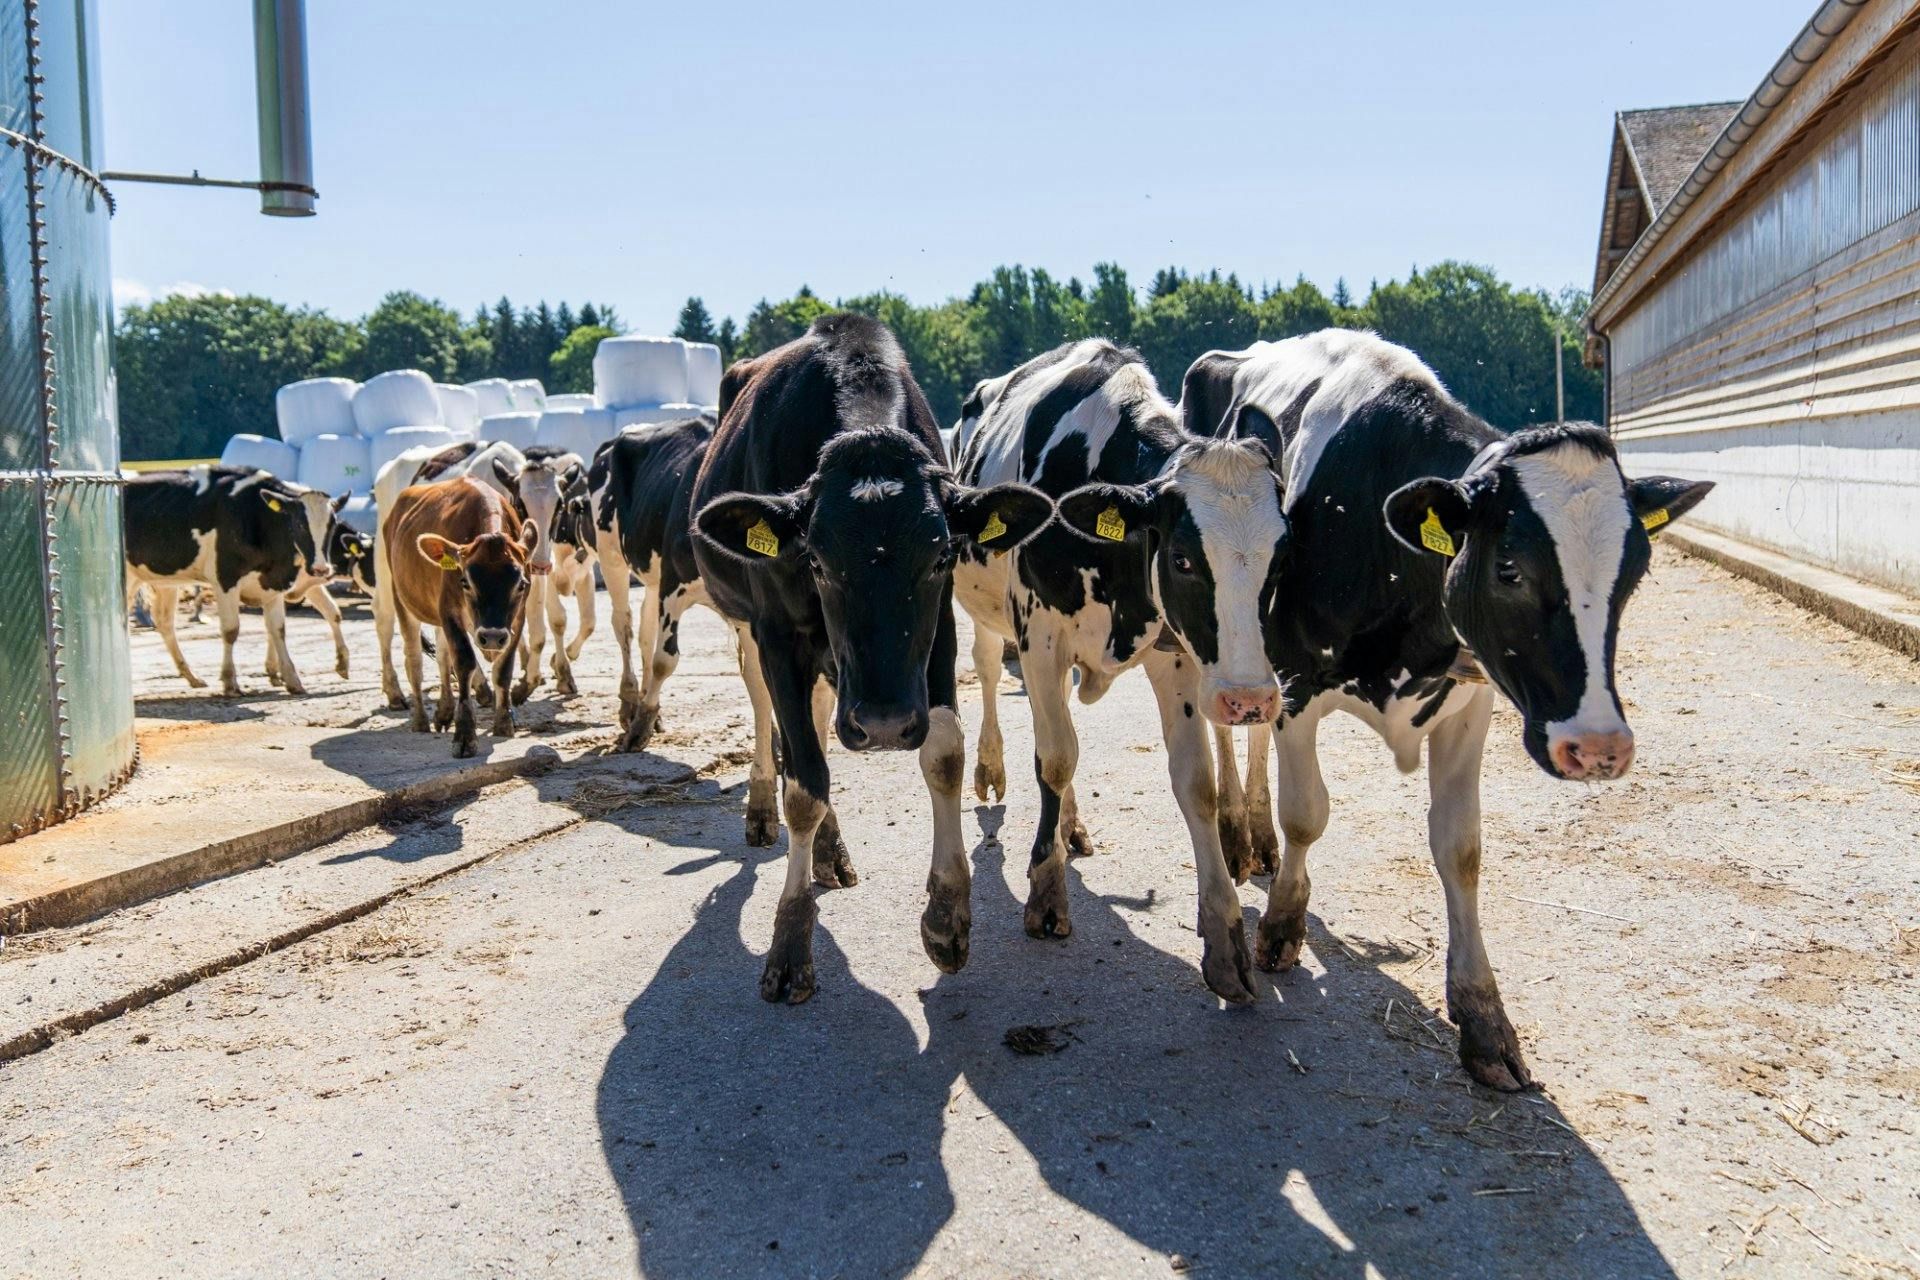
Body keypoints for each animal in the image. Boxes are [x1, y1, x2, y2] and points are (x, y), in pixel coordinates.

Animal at [123, 465, 336, 697]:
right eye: (299, 523)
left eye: (332, 525)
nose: (321, 568)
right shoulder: (226, 578)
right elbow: (231, 630)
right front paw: (230, 682)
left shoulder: (273, 583)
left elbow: (278, 629)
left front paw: (292, 680)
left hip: (160, 579)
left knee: (163, 621)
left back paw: (192, 677)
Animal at [382, 475, 540, 757]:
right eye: (465, 581)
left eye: (521, 584)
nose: (491, 637)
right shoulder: (449, 611)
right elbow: (464, 661)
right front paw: (465, 735)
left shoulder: (516, 619)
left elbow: (503, 669)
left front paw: (504, 724)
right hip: (402, 599)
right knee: (414, 662)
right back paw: (420, 720)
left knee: (443, 656)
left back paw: (445, 711)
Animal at [690, 313, 1052, 1003]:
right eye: (816, 560)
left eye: (940, 557)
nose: (883, 723)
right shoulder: (778, 634)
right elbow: (804, 782)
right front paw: (789, 942)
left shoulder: (939, 631)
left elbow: (944, 755)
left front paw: (947, 916)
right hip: (750, 629)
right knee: (769, 717)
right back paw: (762, 809)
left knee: (818, 720)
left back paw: (831, 853)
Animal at [950, 339, 1290, 1004]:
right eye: (1181, 558)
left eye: (1282, 553)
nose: (1249, 701)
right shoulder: (1040, 639)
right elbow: (1054, 759)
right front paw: (1046, 892)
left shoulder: (1176, 655)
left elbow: (1196, 783)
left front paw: (1225, 940)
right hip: (991, 616)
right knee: (994, 679)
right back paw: (993, 770)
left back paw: (1072, 826)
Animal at [1180, 329, 1713, 1089]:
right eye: (1509, 568)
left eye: (1634, 573)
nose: (1599, 747)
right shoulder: (1298, 684)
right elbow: (1307, 813)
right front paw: (1281, 926)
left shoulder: (1470, 702)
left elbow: (1460, 848)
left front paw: (1484, 1019)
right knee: (1228, 726)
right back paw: (1235, 833)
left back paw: (1254, 836)